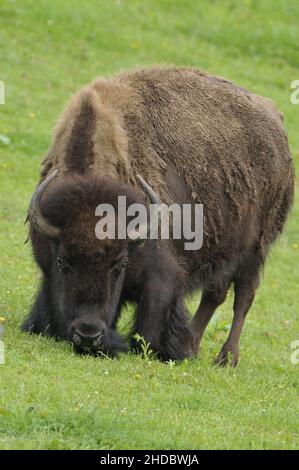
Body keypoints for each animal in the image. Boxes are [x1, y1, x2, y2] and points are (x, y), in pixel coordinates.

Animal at [22, 67, 296, 368]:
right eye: (63, 262)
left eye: (120, 264)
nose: (88, 334)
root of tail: (276, 122)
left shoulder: (161, 276)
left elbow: (150, 333)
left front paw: (166, 350)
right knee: (216, 292)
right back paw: (194, 346)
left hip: (256, 249)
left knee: (243, 296)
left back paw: (225, 358)